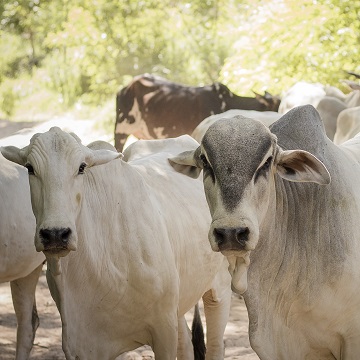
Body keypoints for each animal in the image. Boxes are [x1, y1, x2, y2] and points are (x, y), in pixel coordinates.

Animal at [1, 129, 232, 360]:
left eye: (81, 167)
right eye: (30, 168)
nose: (55, 234)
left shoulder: (164, 330)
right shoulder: (83, 343)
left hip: (219, 289)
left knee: (215, 344)